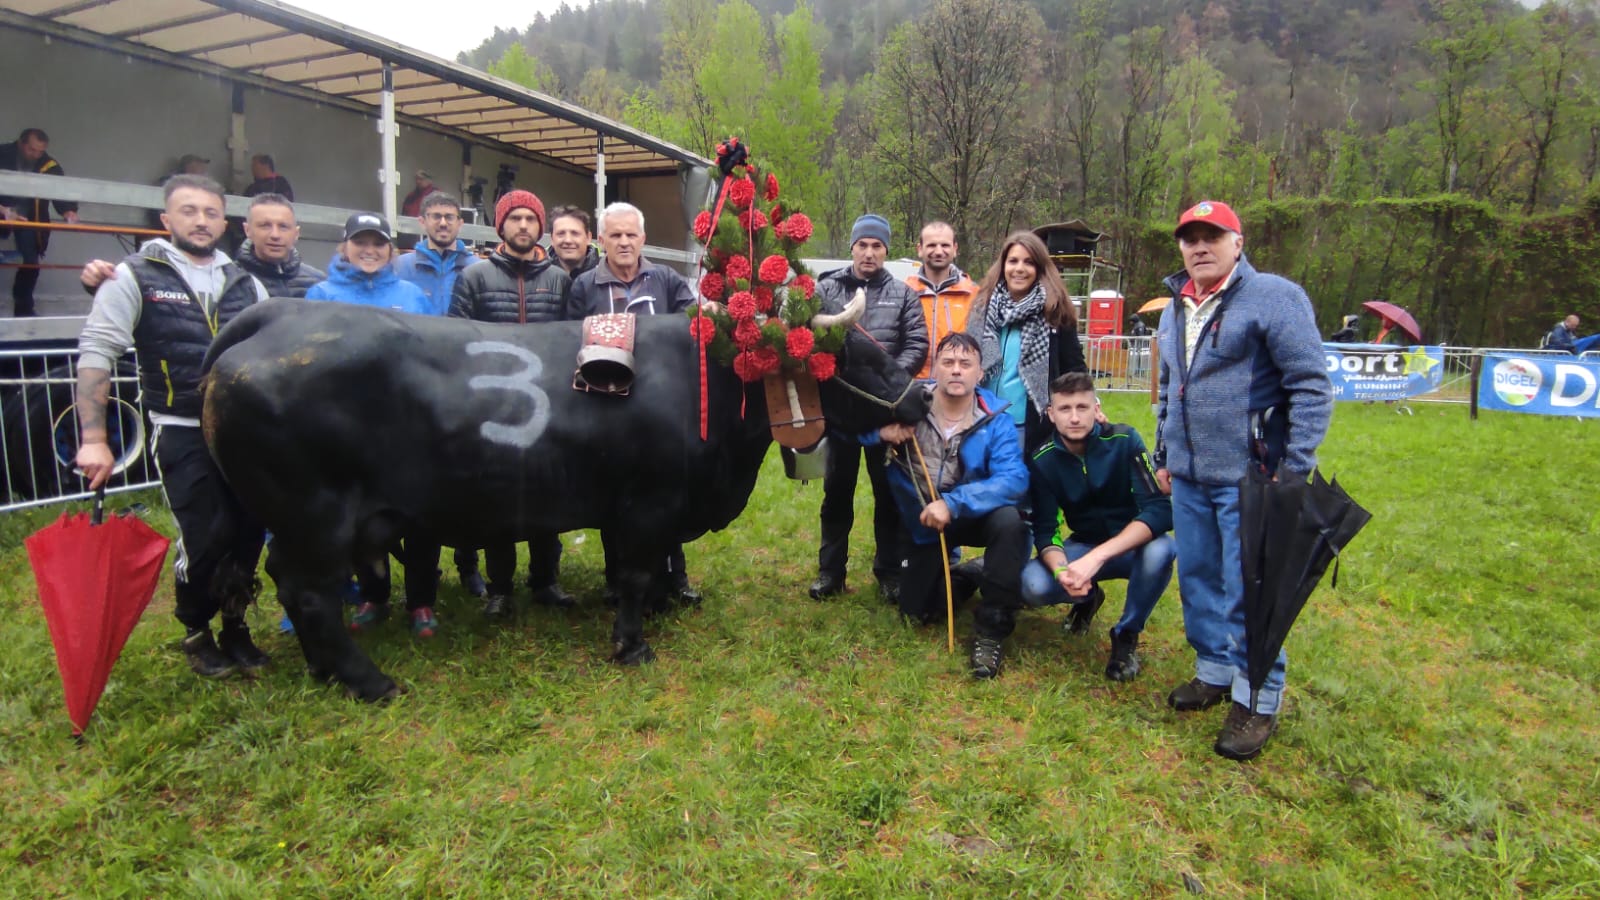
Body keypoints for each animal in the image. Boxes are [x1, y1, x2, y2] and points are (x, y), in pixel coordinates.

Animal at [198, 296, 928, 701]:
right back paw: (367, 681)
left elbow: (644, 571)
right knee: (310, 593)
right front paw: (632, 645)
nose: (920, 396)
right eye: (850, 357)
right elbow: (633, 573)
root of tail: (280, 313)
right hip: (314, 519)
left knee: (291, 588)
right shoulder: (648, 505)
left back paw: (326, 671)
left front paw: (655, 611)